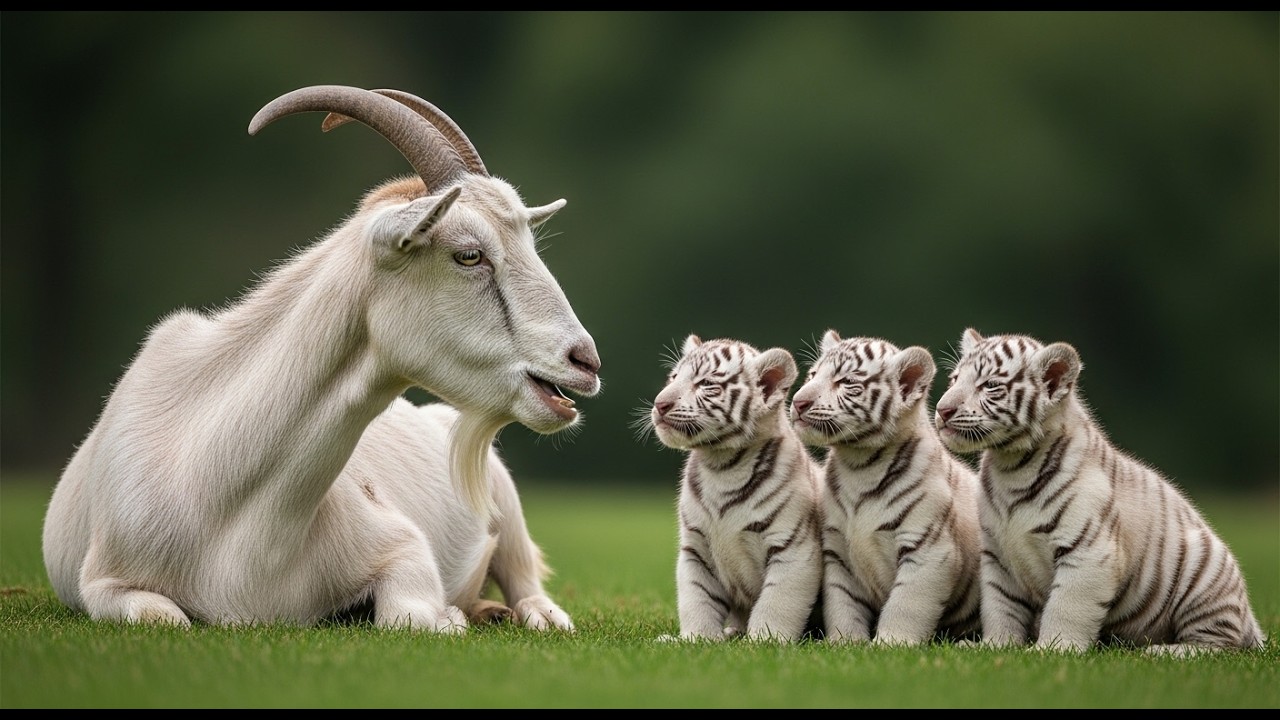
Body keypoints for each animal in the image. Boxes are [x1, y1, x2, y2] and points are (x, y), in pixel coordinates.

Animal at [41, 85, 600, 633]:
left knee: (526, 579)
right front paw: (455, 615)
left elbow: (408, 617)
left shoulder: (401, 543)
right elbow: (165, 618)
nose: (586, 361)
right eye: (468, 254)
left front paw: (450, 617)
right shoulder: (106, 582)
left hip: (504, 500)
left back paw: (529, 614)